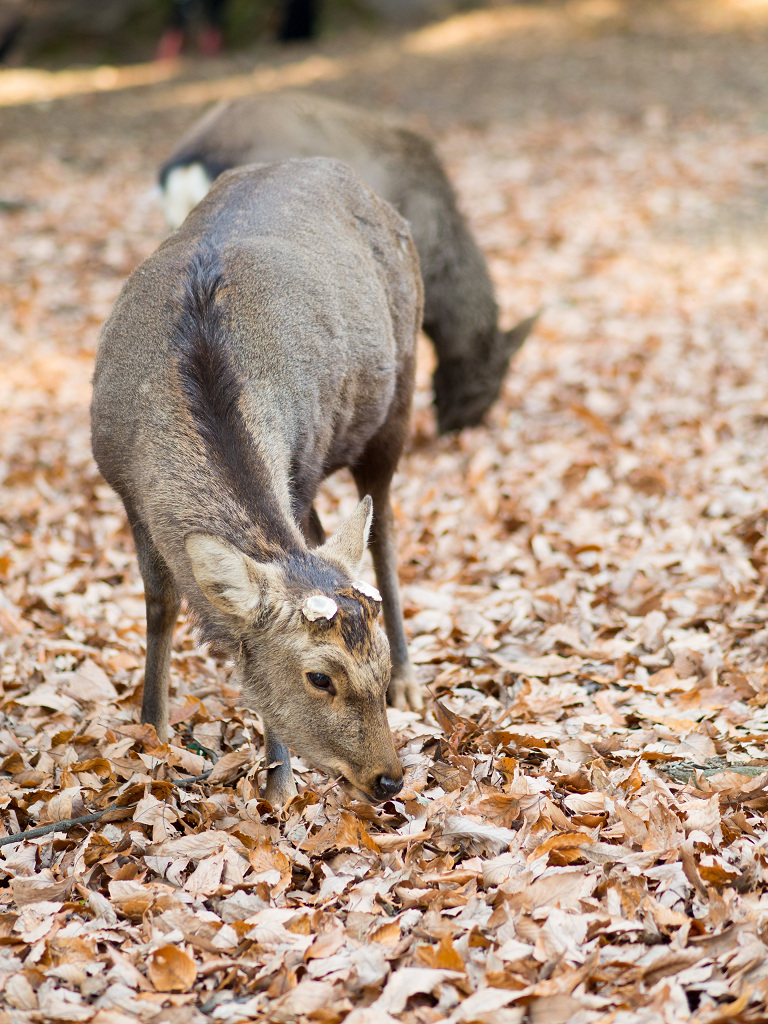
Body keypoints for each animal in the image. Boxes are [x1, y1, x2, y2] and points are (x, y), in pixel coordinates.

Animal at [94, 155, 428, 802]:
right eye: (319, 677)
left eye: (372, 666)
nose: (389, 779)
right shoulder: (125, 490)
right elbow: (161, 604)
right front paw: (153, 732)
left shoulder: (301, 460)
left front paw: (278, 785)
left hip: (397, 395)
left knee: (385, 532)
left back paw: (412, 678)